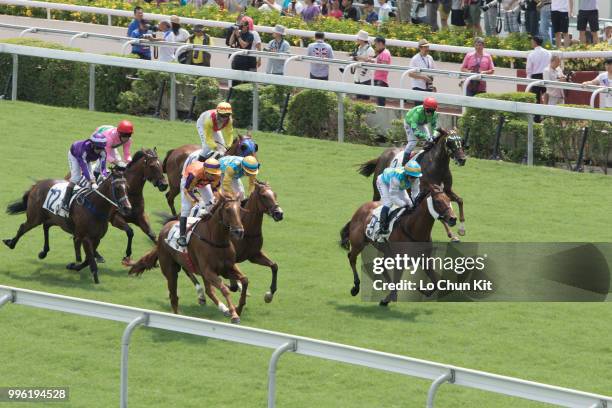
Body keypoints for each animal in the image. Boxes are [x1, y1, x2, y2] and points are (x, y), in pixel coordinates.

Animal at [128, 193, 247, 324]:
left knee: (206, 289)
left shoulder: (227, 267)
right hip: (170, 270)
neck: (216, 241)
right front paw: (234, 315)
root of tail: (163, 230)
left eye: (240, 209)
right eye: (227, 210)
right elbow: (224, 289)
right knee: (174, 296)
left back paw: (219, 305)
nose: (239, 231)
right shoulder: (208, 271)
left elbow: (244, 280)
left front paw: (239, 307)